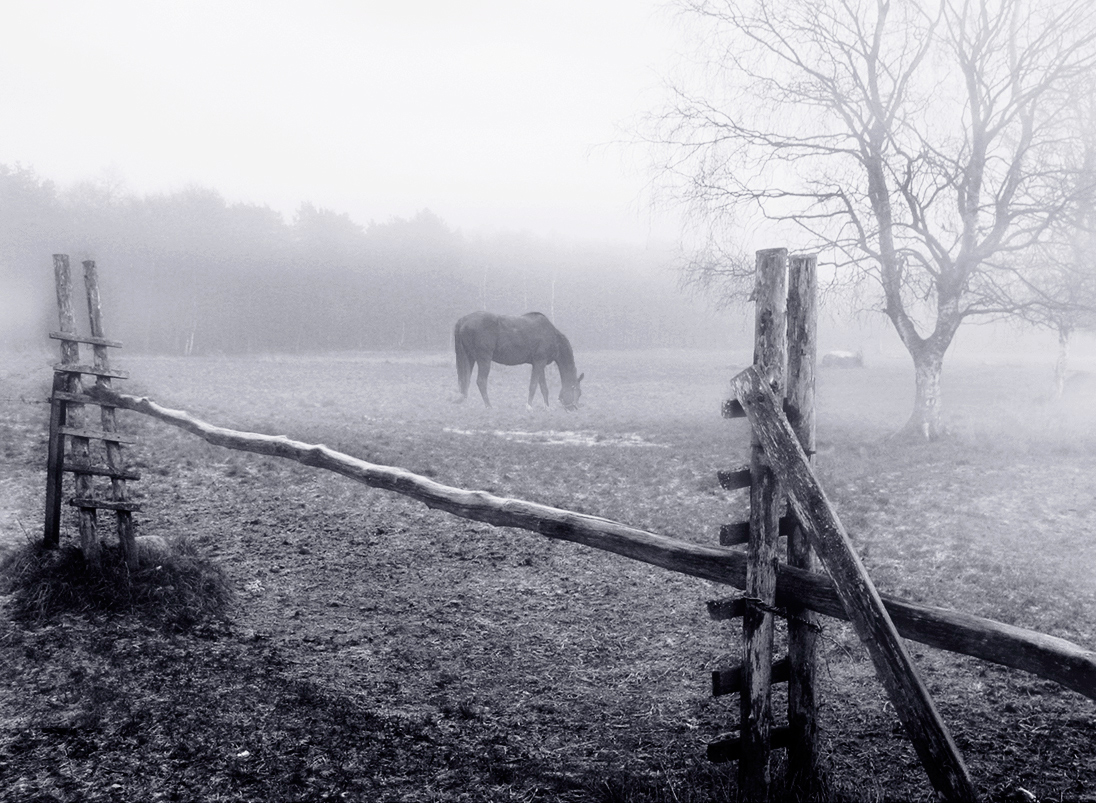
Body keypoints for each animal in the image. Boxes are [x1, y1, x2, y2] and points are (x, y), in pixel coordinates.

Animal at [451, 306, 583, 407]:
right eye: (578, 391)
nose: (574, 408)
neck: (552, 336)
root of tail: (463, 320)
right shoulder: (539, 362)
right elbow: (533, 385)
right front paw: (529, 406)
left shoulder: (539, 364)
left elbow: (543, 387)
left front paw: (547, 407)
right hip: (484, 359)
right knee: (481, 382)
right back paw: (489, 406)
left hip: (469, 358)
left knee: (465, 380)